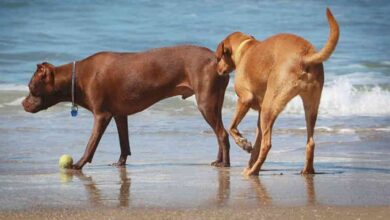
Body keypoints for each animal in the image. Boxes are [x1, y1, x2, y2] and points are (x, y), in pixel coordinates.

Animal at [22, 45, 230, 169]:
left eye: (31, 87)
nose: (23, 104)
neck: (77, 77)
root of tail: (216, 59)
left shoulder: (102, 115)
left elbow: (91, 143)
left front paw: (79, 164)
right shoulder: (119, 115)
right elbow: (124, 143)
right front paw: (121, 162)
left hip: (206, 104)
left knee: (222, 134)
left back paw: (226, 163)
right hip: (214, 104)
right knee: (220, 133)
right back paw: (219, 160)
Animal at [215, 8, 340, 176]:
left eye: (219, 58)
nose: (217, 69)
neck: (245, 48)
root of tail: (305, 56)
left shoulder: (244, 99)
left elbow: (232, 127)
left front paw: (243, 143)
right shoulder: (259, 115)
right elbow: (256, 143)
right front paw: (249, 156)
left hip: (270, 106)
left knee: (267, 145)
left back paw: (253, 171)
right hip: (310, 106)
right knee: (311, 142)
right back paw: (307, 170)